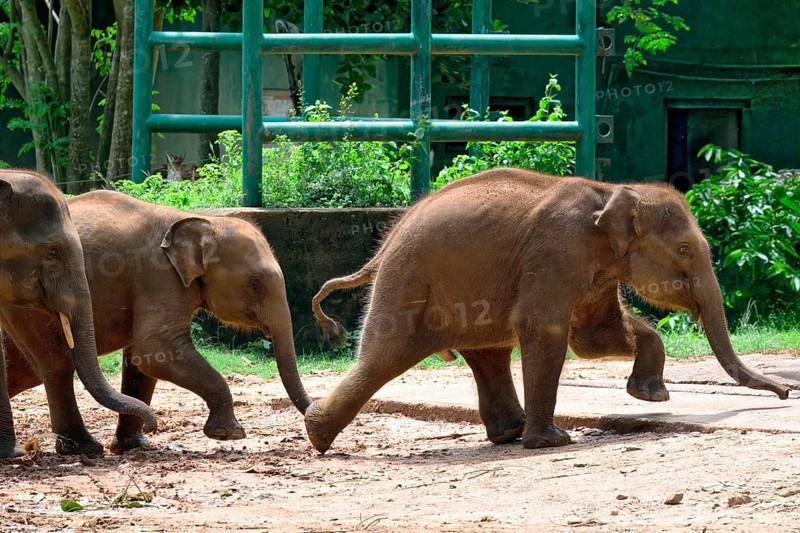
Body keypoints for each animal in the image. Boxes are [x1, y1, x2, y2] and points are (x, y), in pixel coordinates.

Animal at [4, 189, 310, 455]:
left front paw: (134, 446)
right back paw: (82, 449)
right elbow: (155, 349)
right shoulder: (158, 275)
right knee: (54, 365)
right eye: (255, 283)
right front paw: (230, 434)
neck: (196, 219)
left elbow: (141, 362)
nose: (313, 415)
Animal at [306, 167, 790, 453]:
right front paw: (553, 442)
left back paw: (508, 434)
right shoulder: (558, 250)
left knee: (489, 353)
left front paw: (652, 396)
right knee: (383, 358)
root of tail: (384, 243)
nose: (786, 393)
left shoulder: (597, 267)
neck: (613, 192)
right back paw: (317, 434)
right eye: (686, 250)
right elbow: (547, 330)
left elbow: (598, 337)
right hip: (407, 283)